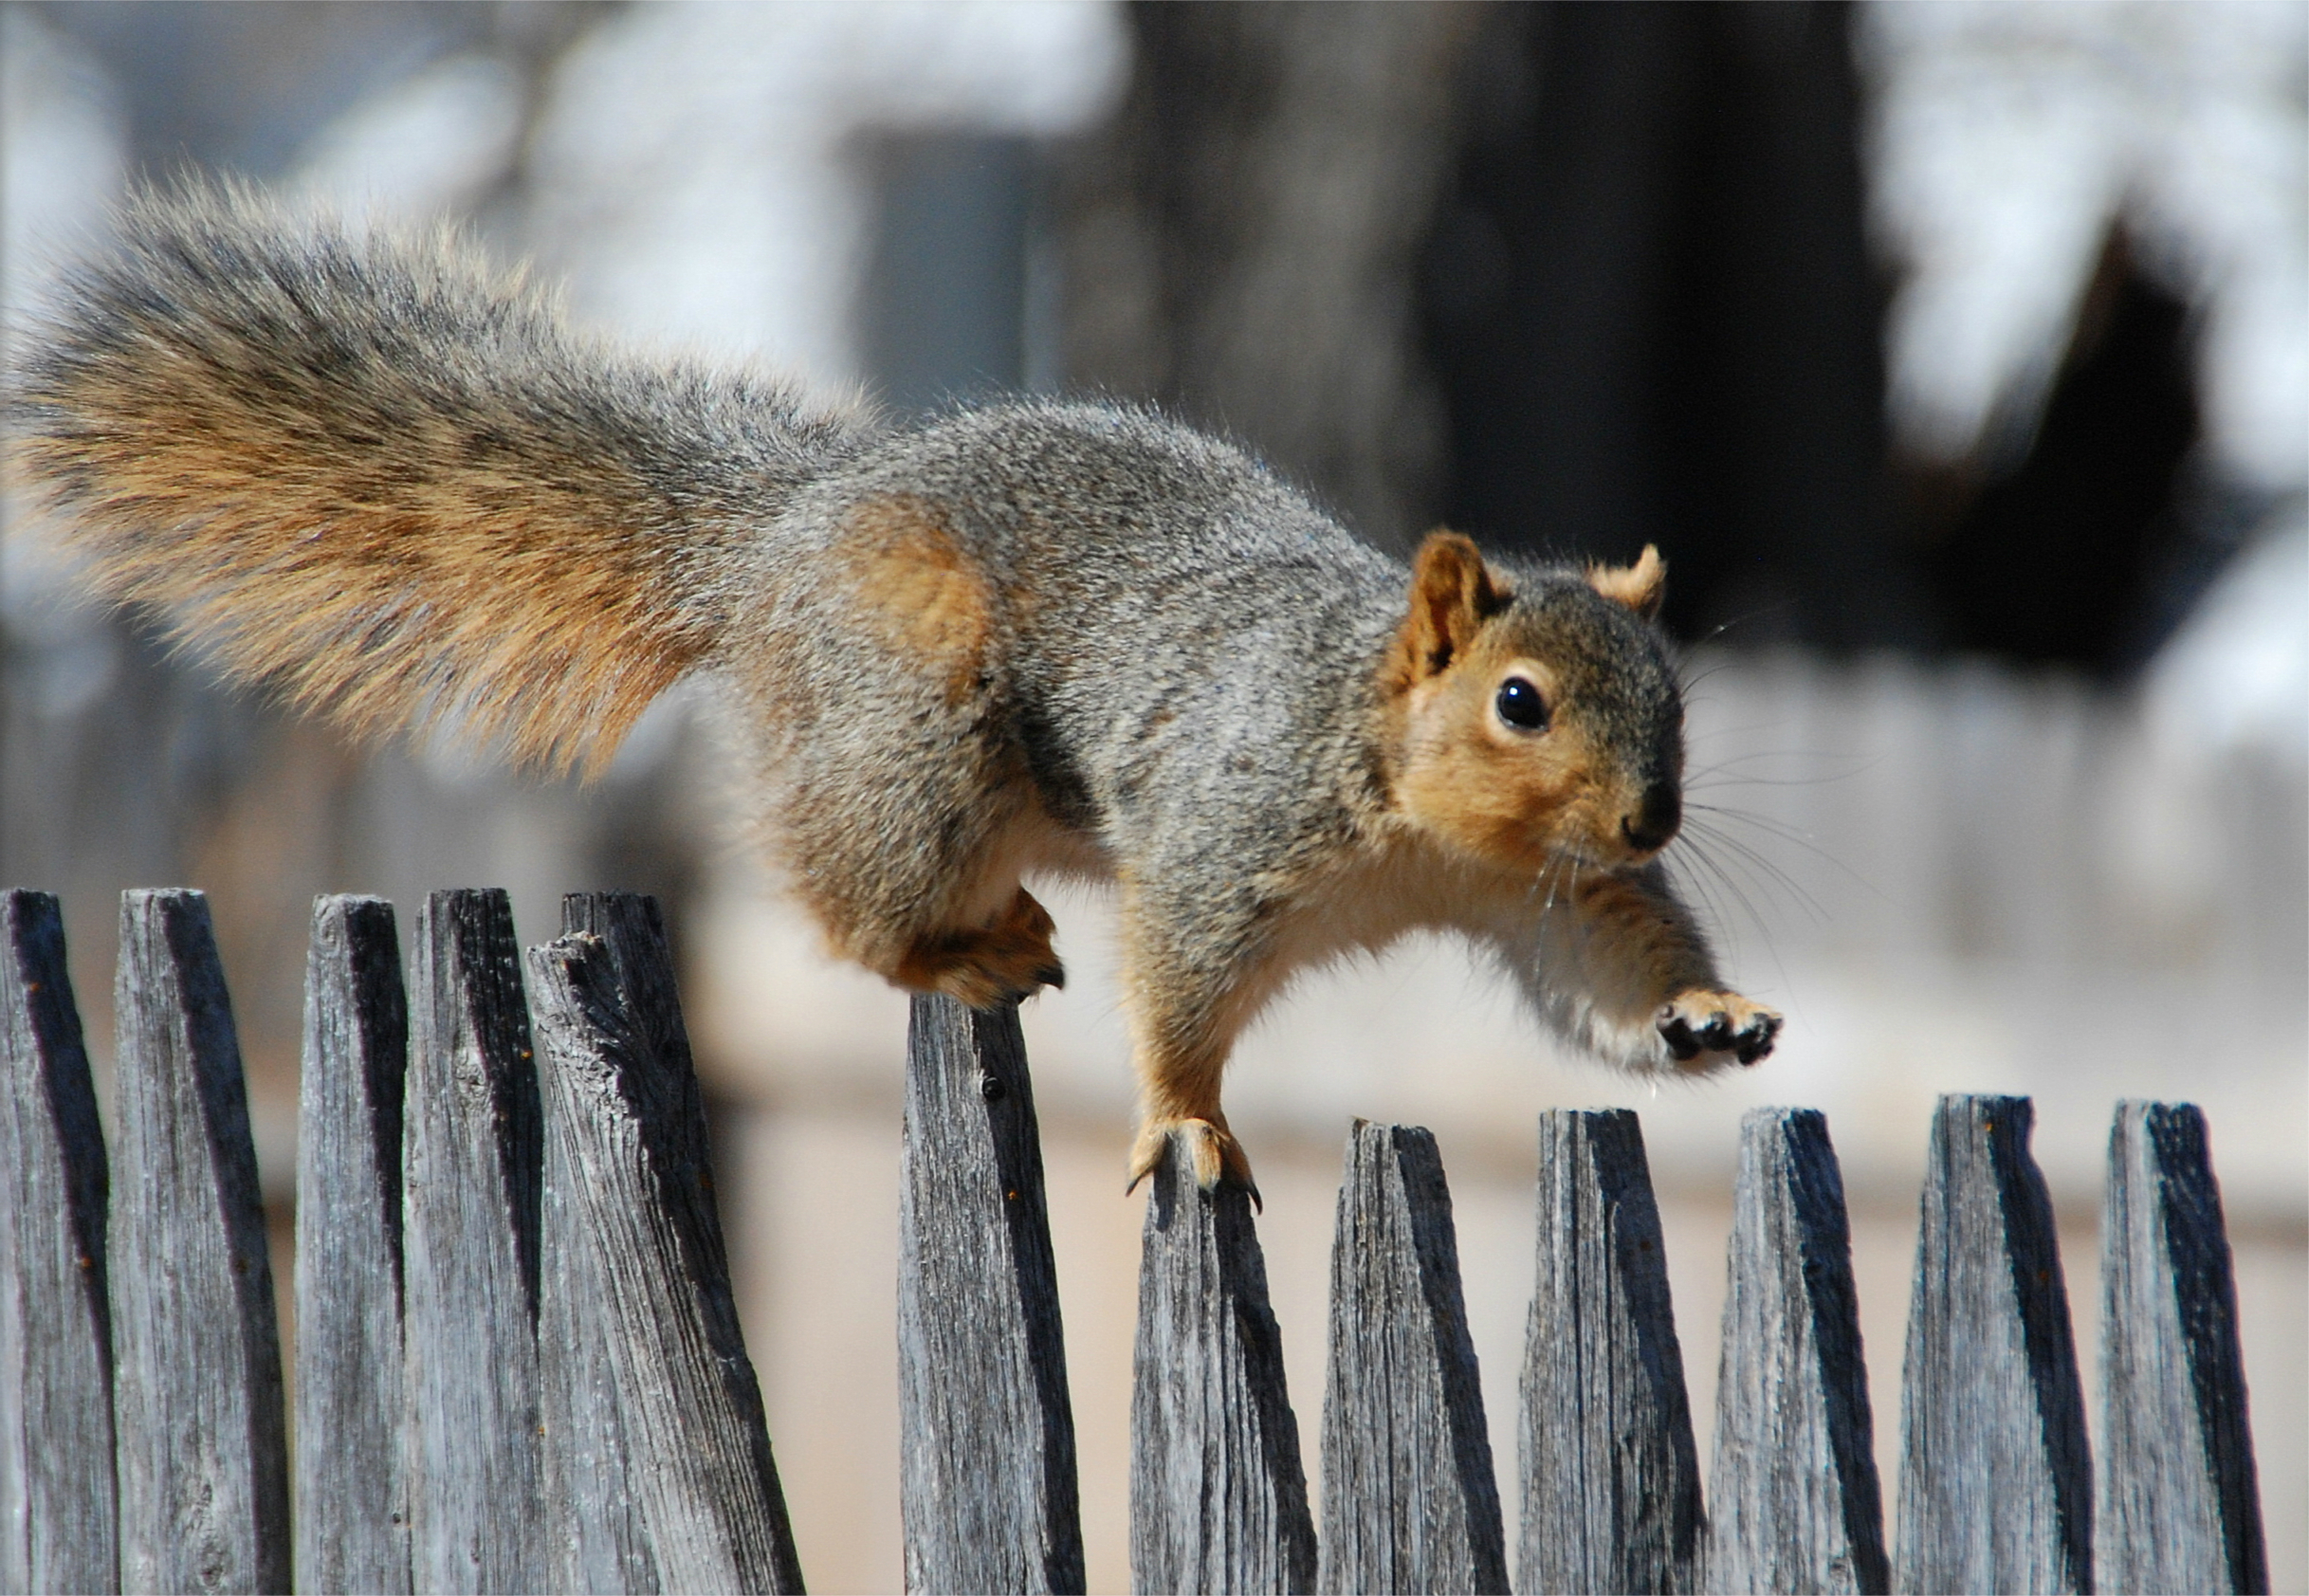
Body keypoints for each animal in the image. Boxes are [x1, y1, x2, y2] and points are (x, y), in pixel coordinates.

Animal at [4, 187, 1782, 1191]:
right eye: (1519, 702)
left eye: (1673, 693)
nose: (1653, 813)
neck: (1415, 816)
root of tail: (774, 542)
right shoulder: (1223, 833)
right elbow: (1180, 991)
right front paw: (1185, 1124)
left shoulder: (1550, 894)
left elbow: (1602, 969)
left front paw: (1704, 1011)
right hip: (912, 734)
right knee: (843, 904)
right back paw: (956, 946)